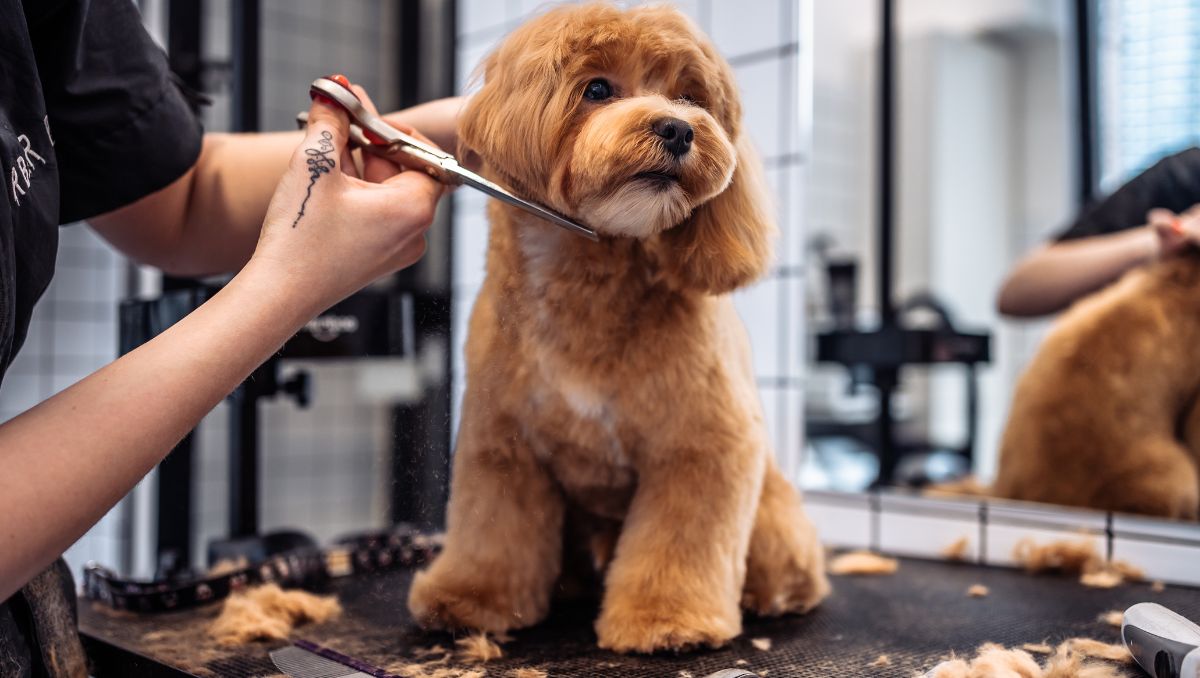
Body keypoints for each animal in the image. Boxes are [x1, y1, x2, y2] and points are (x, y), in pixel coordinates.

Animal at [408, 2, 830, 652]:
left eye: (690, 97)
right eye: (598, 89)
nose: (679, 129)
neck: (588, 284)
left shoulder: (703, 444)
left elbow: (679, 542)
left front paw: (666, 619)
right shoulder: (502, 443)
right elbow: (491, 531)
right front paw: (471, 598)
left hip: (772, 517)